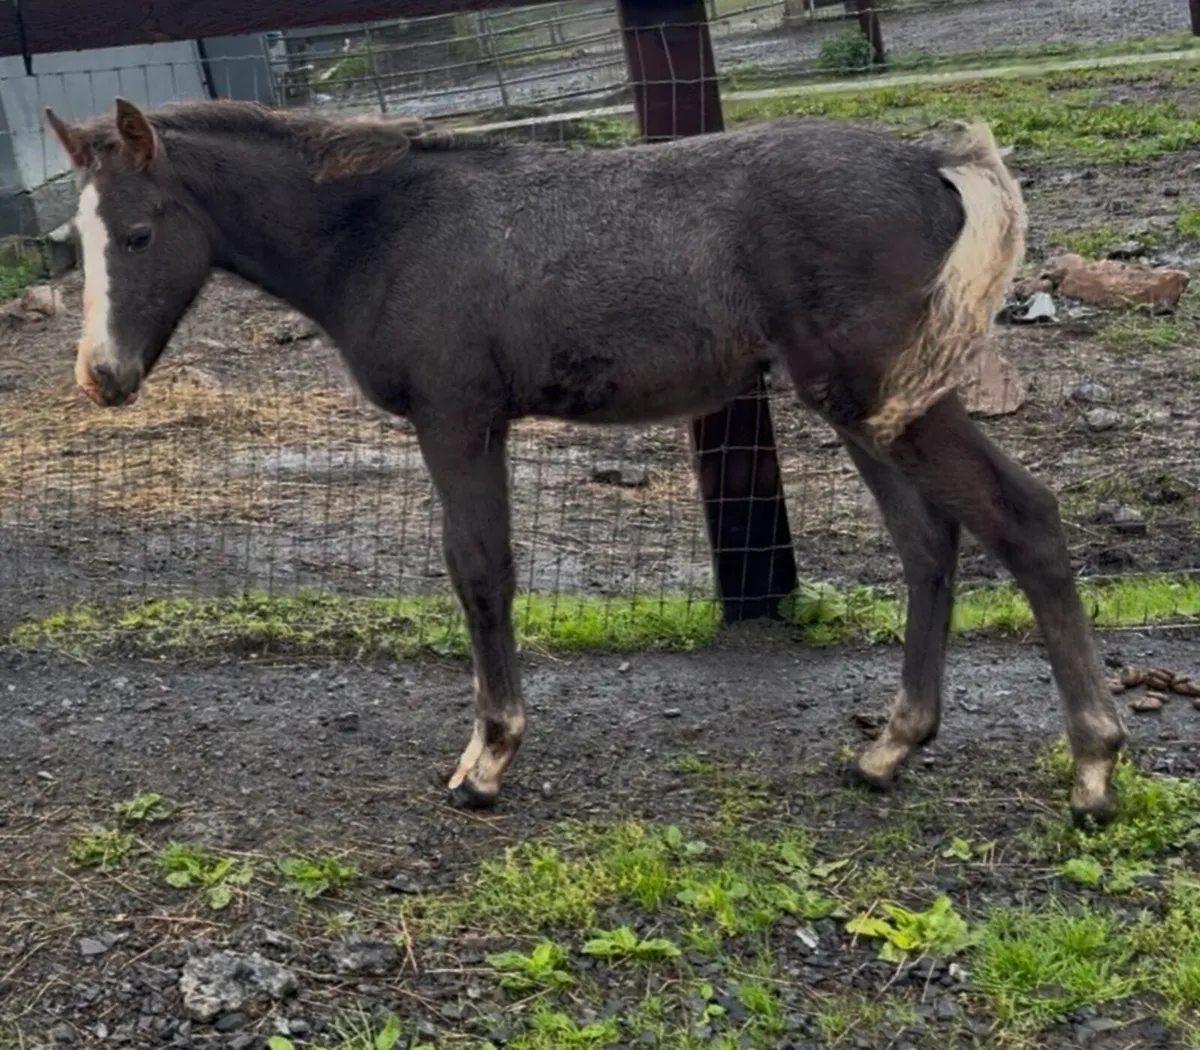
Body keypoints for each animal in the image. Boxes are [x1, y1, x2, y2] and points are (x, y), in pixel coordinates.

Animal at [44, 97, 1128, 825]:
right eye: (74, 244)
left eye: (137, 233)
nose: (102, 377)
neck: (383, 230)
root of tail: (929, 162)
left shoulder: (457, 417)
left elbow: (480, 572)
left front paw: (487, 761)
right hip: (863, 402)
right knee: (928, 541)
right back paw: (891, 749)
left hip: (890, 396)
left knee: (1024, 517)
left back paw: (1094, 767)